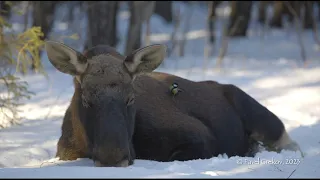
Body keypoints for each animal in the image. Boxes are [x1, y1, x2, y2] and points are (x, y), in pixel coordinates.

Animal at [44, 40, 300, 167]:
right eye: (86, 99)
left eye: (131, 97)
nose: (112, 156)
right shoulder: (66, 150)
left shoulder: (201, 138)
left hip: (264, 120)